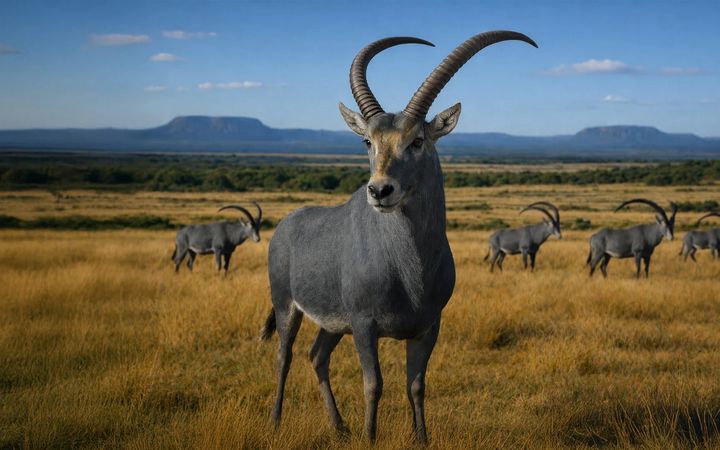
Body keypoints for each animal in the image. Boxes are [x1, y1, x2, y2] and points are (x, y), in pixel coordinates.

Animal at [259, 31, 537, 443]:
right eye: (368, 141)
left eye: (417, 140)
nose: (379, 191)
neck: (409, 269)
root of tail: (286, 225)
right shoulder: (364, 326)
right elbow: (374, 384)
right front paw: (370, 438)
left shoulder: (428, 327)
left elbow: (416, 385)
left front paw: (421, 438)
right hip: (286, 306)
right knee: (285, 355)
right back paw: (277, 421)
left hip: (332, 324)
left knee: (317, 356)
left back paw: (340, 427)